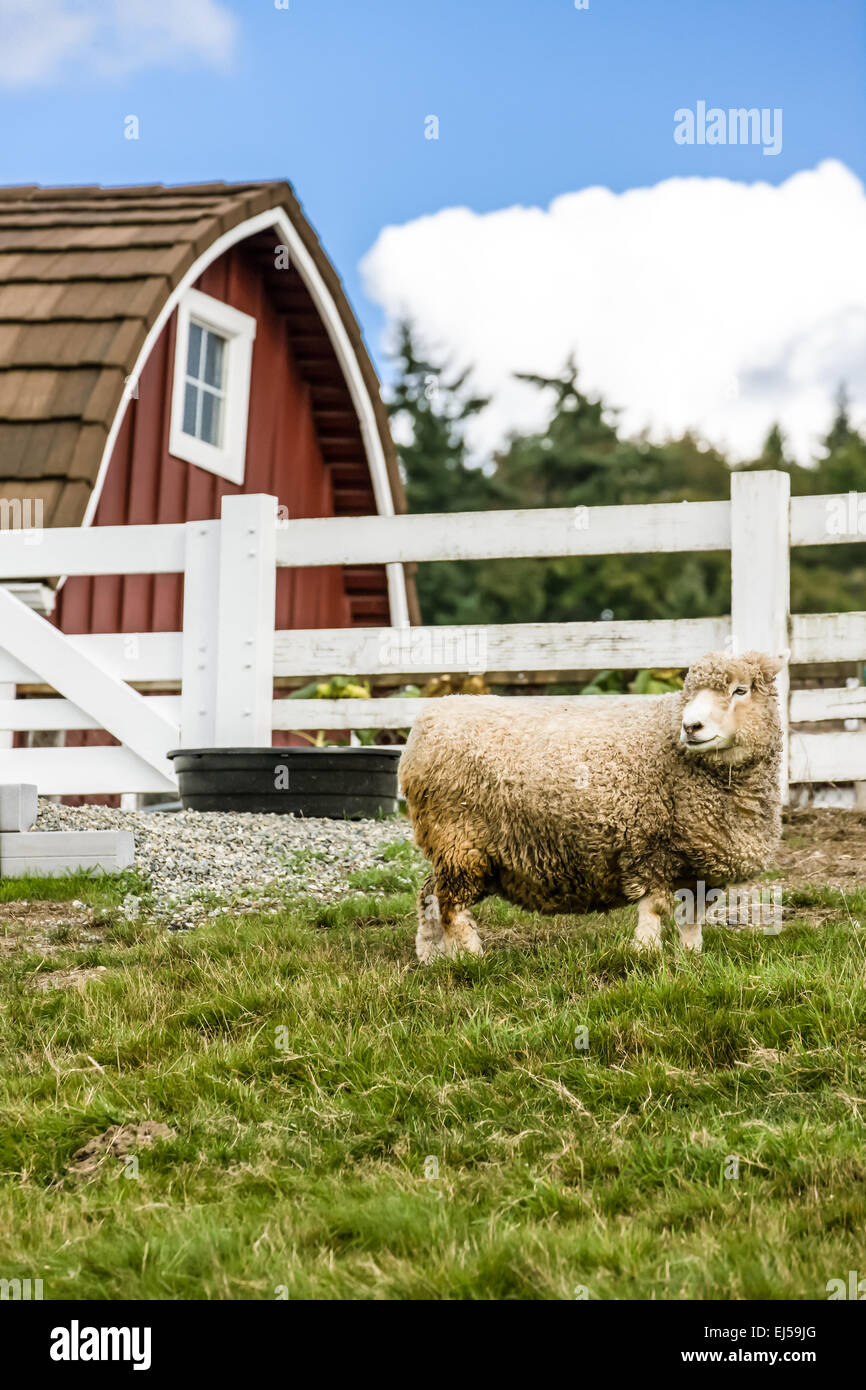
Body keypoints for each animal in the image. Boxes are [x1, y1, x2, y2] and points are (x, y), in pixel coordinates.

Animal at [400, 647, 783, 956]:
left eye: (740, 690)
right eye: (691, 692)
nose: (691, 727)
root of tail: (425, 723)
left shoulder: (701, 865)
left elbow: (692, 917)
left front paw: (691, 957)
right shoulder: (650, 848)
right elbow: (655, 908)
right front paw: (646, 953)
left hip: (463, 851)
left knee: (429, 894)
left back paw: (431, 956)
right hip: (458, 840)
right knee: (451, 905)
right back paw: (469, 958)